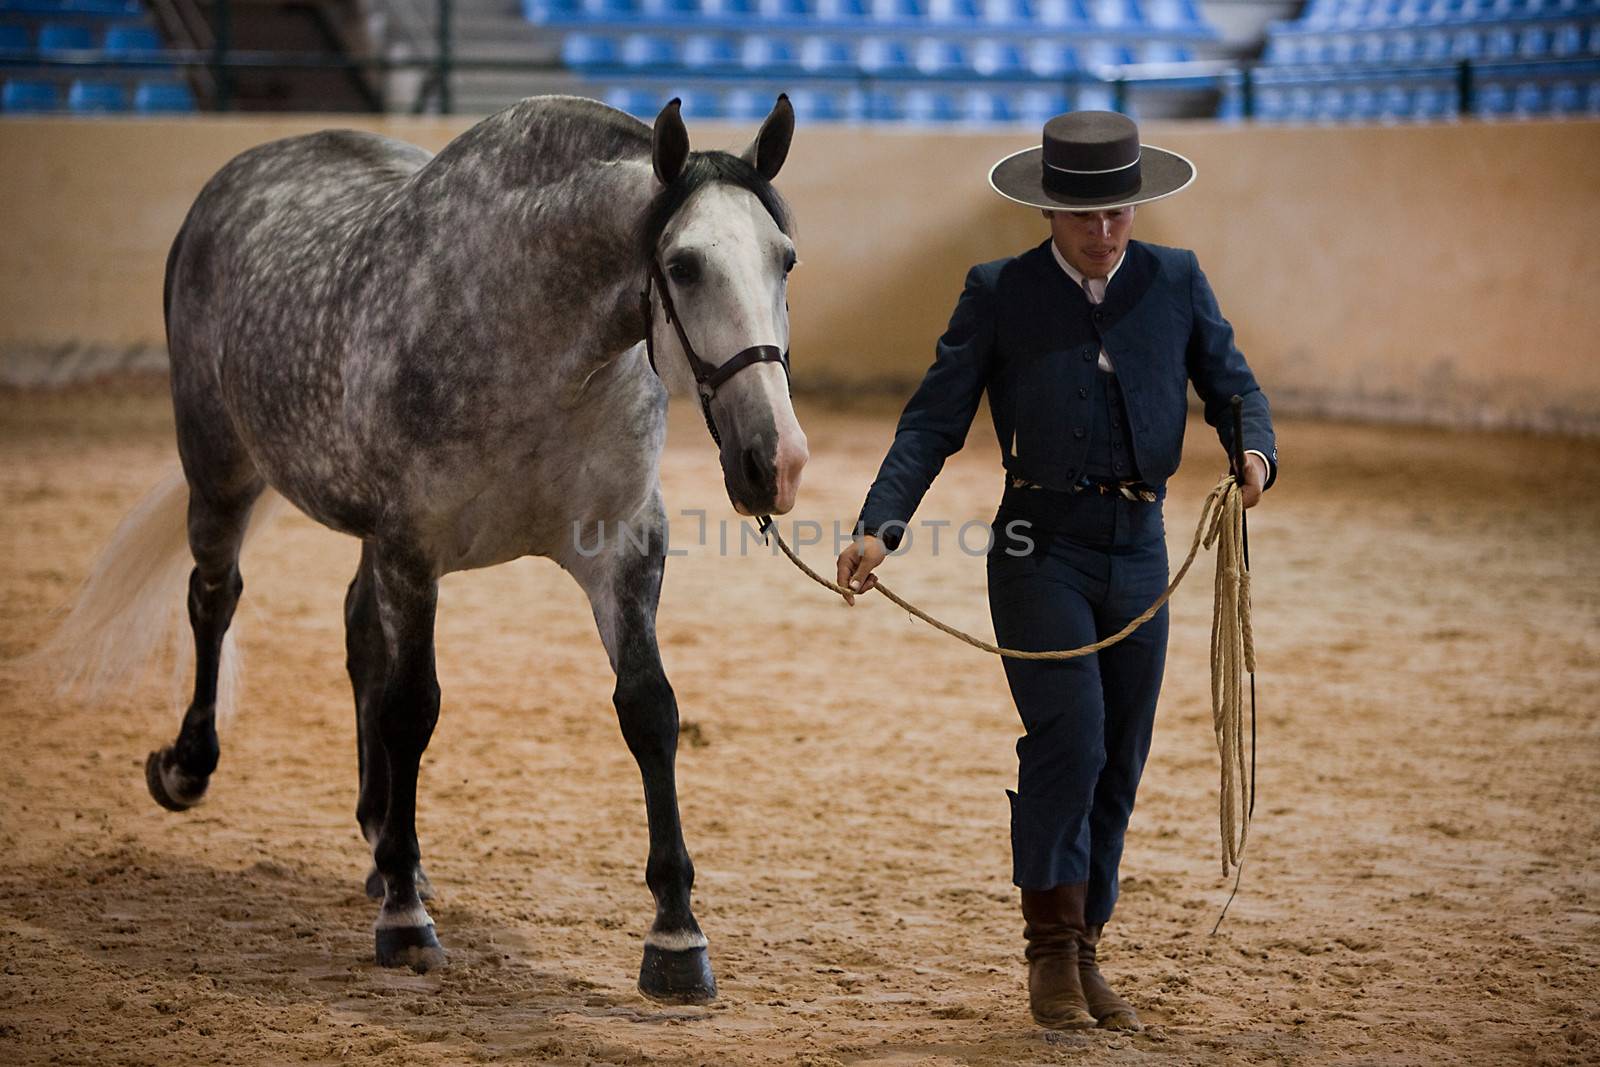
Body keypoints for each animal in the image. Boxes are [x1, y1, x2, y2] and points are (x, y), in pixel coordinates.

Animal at [50, 89, 812, 1004]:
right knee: (214, 596)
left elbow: (648, 711)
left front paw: (675, 934)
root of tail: (243, 172)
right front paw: (406, 923)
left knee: (355, 632)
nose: (776, 460)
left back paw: (385, 842)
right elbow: (412, 708)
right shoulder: (413, 548)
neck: (529, 337)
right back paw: (193, 769)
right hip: (221, 468)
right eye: (687, 264)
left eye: (786, 260)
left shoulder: (623, 550)